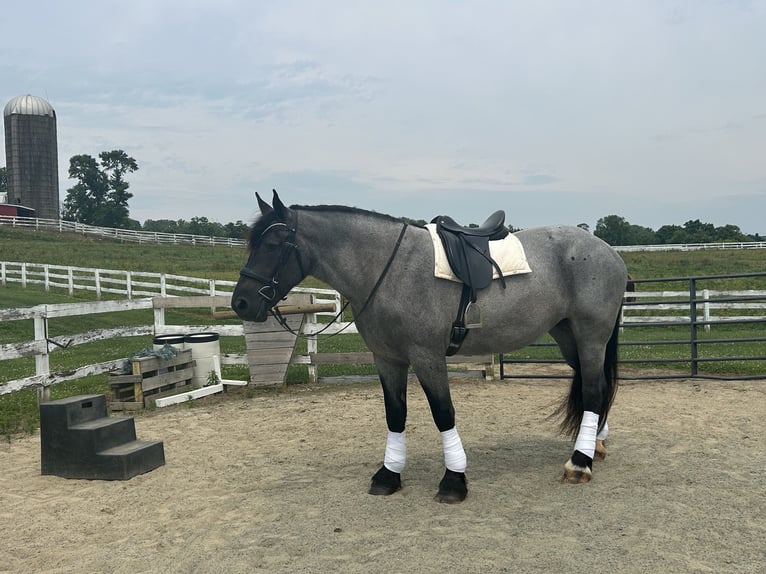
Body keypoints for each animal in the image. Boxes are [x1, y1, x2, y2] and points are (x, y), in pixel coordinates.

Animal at [231, 190, 628, 503]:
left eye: (273, 244)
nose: (241, 303)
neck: (389, 269)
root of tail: (608, 251)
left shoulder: (427, 358)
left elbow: (443, 413)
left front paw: (454, 480)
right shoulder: (387, 359)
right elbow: (395, 414)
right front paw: (389, 475)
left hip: (591, 336)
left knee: (593, 389)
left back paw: (579, 463)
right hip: (567, 336)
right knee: (595, 386)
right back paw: (594, 446)